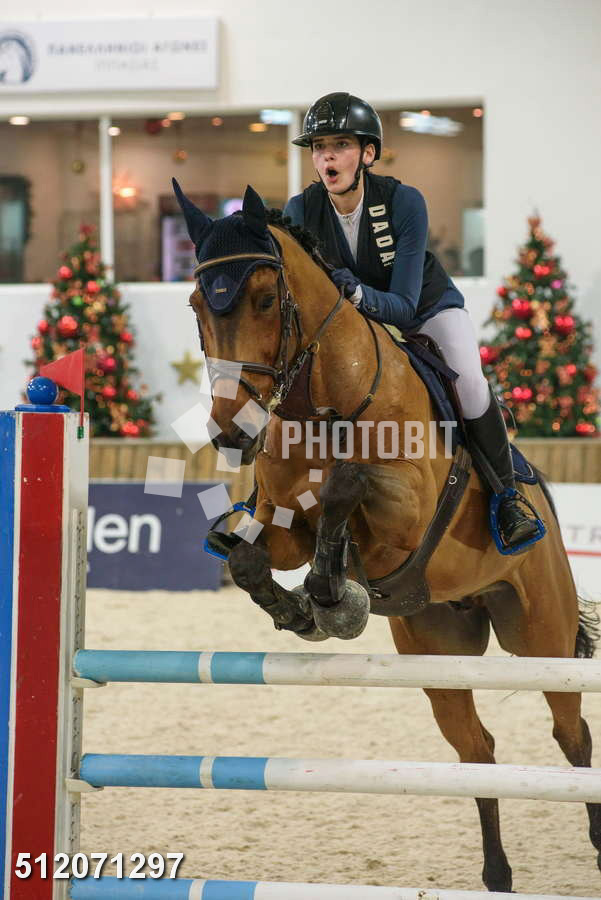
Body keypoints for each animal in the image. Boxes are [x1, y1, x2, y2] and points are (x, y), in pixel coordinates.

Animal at [173, 179, 599, 893]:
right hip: (438, 648)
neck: (318, 399)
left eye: (265, 299)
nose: (233, 434)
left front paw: (333, 595)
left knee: (572, 734)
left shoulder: (405, 514)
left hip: (540, 634)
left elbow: (349, 487)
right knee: (478, 751)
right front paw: (303, 607)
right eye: (198, 303)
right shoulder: (286, 522)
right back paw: (497, 874)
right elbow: (255, 561)